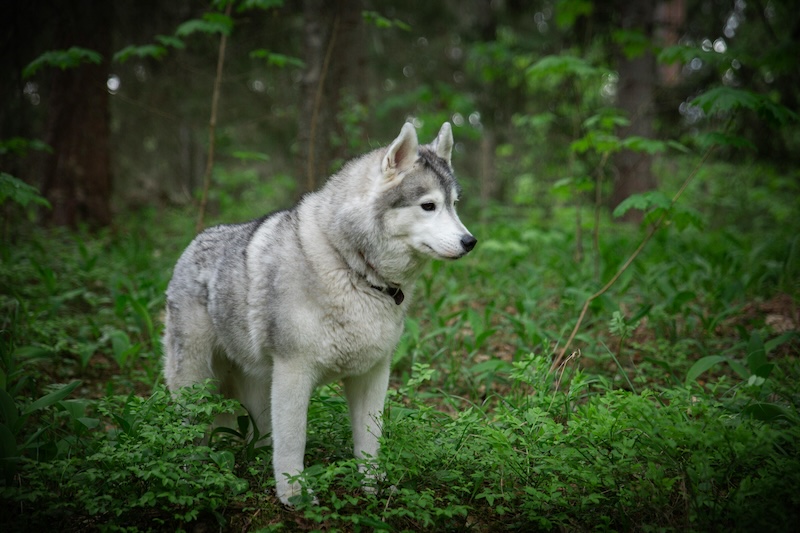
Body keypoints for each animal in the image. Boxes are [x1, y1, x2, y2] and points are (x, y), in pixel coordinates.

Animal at [162, 120, 476, 502]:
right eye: (428, 205)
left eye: (454, 205)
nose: (470, 242)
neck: (354, 269)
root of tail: (192, 244)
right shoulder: (294, 373)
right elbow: (292, 443)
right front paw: (295, 495)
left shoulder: (372, 374)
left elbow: (369, 441)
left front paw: (373, 486)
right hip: (196, 383)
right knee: (193, 433)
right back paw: (190, 474)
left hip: (255, 389)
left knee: (258, 437)